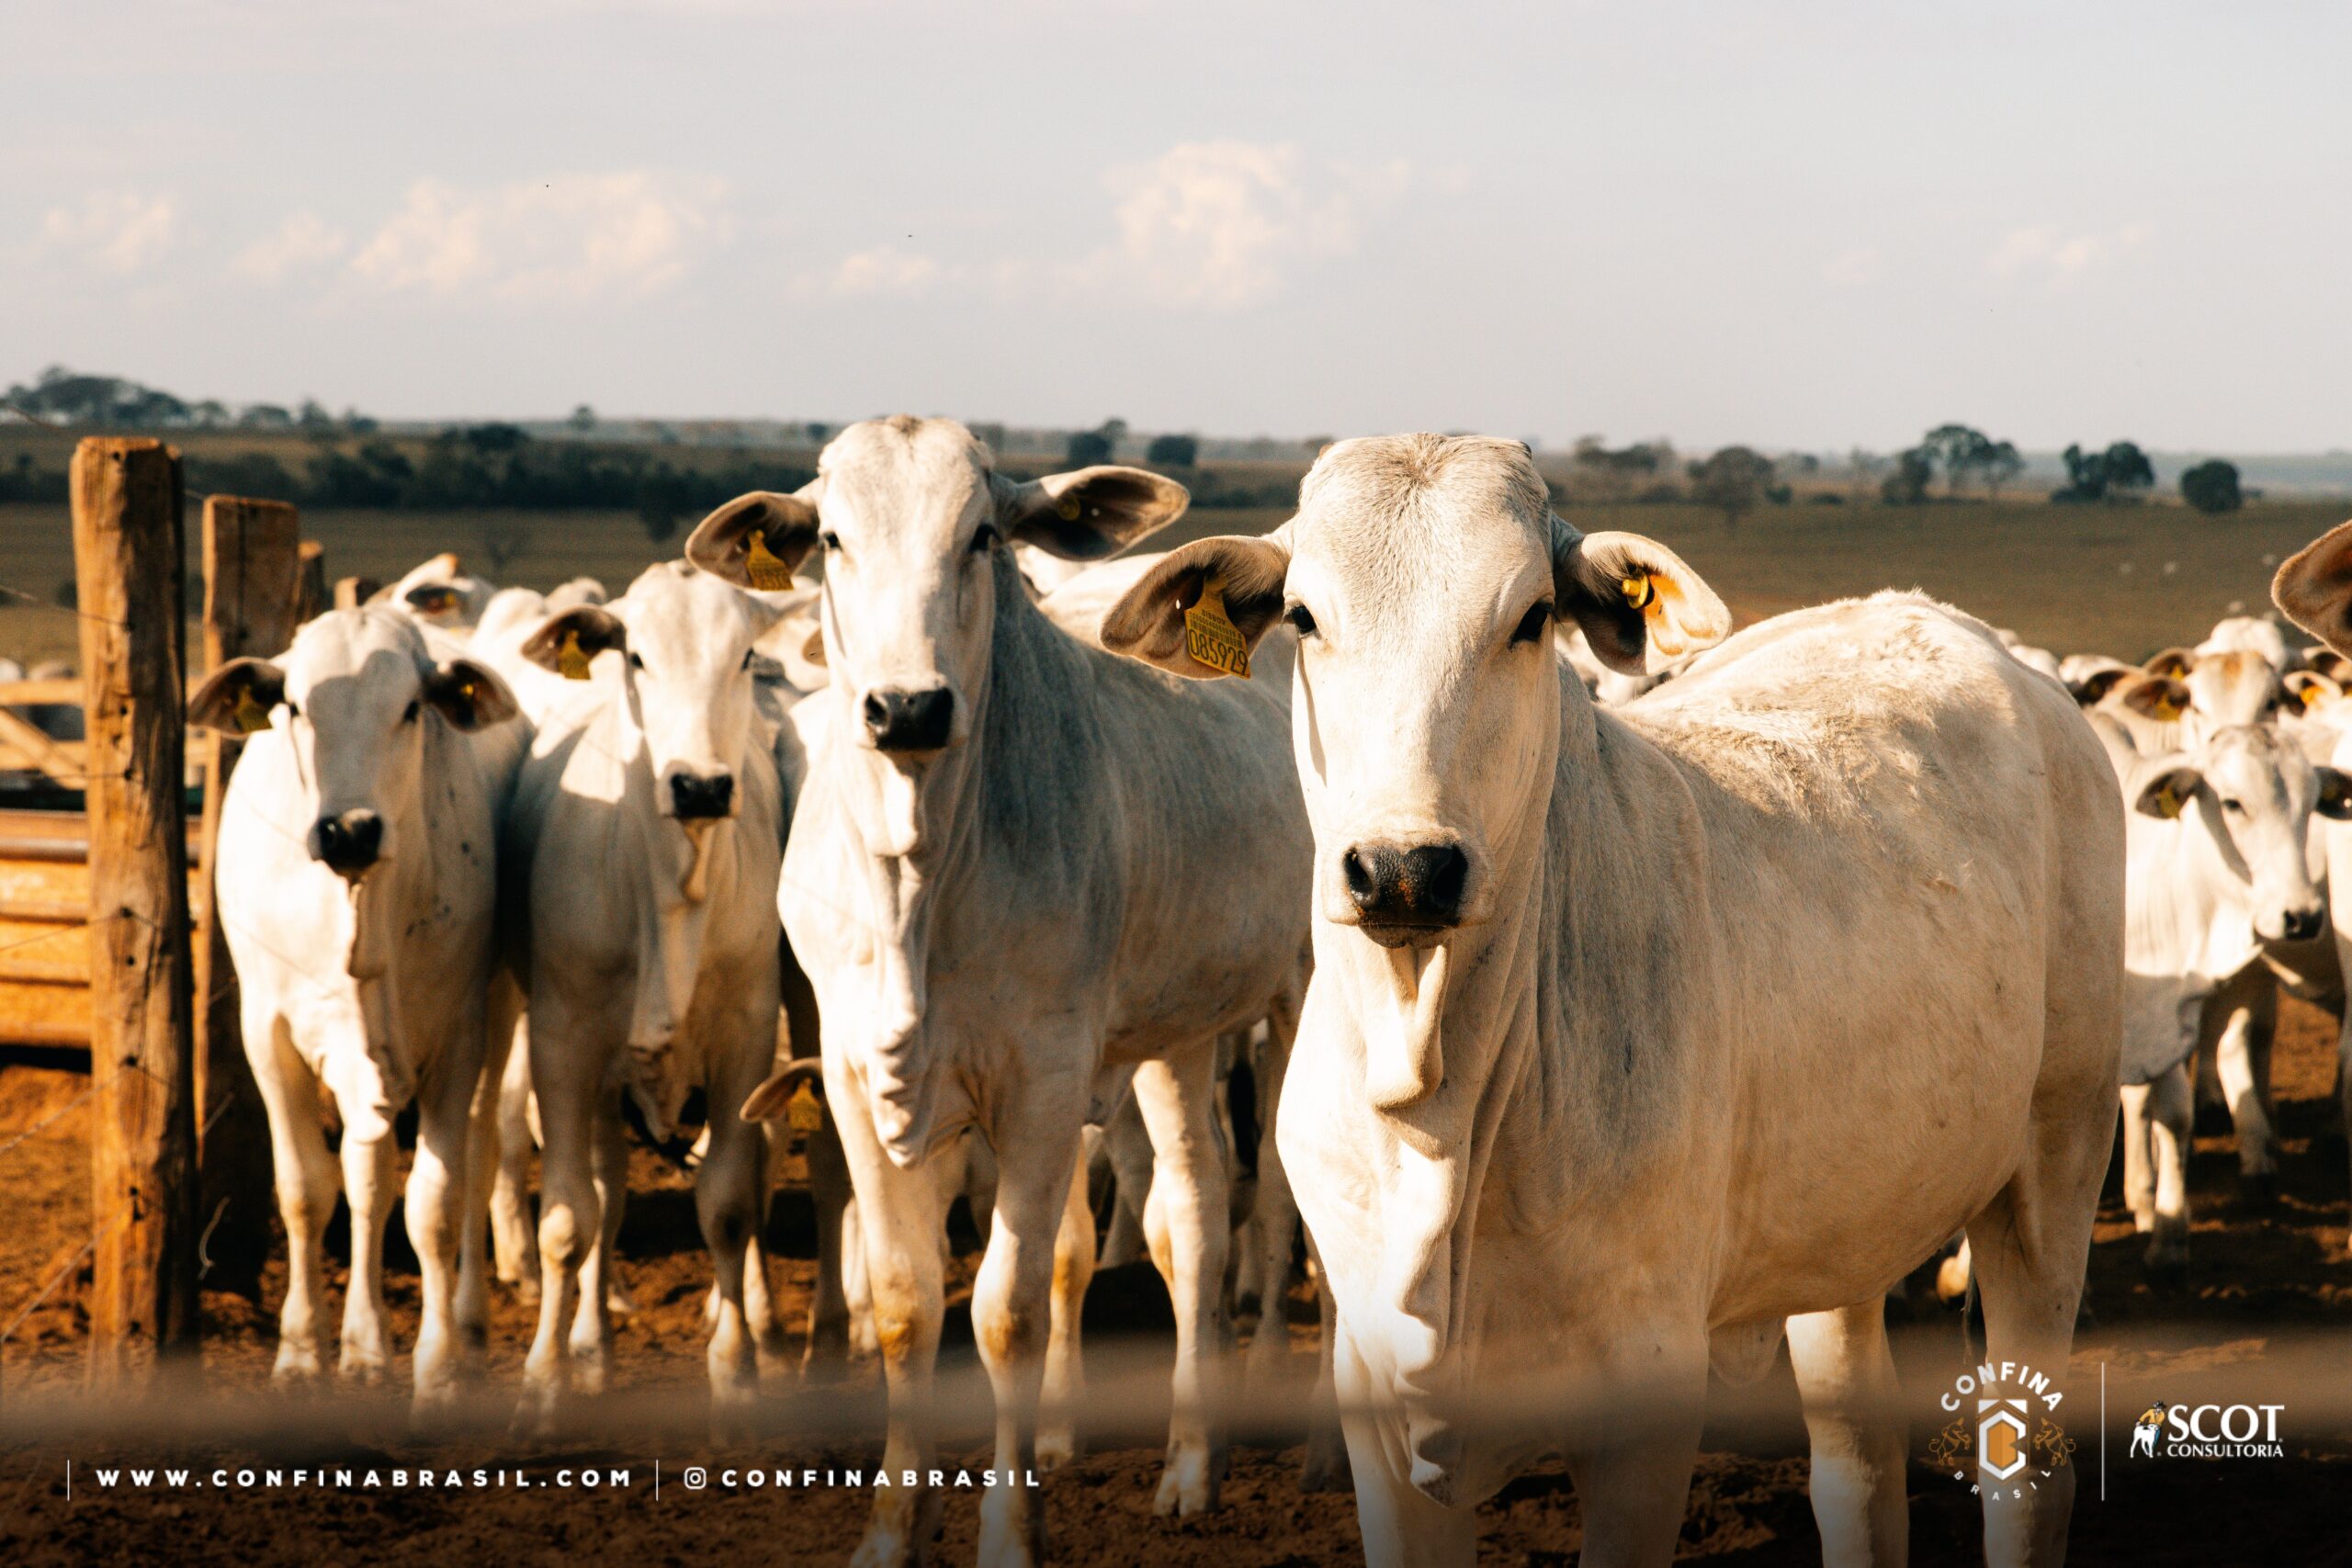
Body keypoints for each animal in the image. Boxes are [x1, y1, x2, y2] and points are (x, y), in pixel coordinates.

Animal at [191, 611, 524, 1410]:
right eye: (295, 707)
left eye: (410, 708)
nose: (350, 830)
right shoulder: (267, 1034)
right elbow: (307, 1190)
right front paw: (302, 1352)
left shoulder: (459, 1036)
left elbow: (435, 1203)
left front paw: (436, 1366)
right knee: (363, 1172)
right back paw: (365, 1342)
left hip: (495, 1015)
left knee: (477, 1151)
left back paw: (463, 1325)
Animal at [496, 564, 790, 1438]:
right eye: (636, 655)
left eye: (745, 654)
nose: (700, 785)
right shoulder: (562, 1041)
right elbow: (567, 1221)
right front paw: (543, 1383)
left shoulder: (747, 1038)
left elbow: (727, 1206)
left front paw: (737, 1373)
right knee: (603, 1195)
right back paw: (589, 1343)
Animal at [686, 421, 1317, 1568]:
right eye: (831, 538)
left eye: (981, 535)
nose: (907, 706)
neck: (922, 874)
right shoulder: (854, 1076)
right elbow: (905, 1303)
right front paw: (892, 1530)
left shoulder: (1042, 1084)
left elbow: (1007, 1311)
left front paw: (1009, 1531)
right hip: (1176, 1032)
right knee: (1194, 1215)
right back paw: (1187, 1465)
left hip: (1304, 993)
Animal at [1091, 434, 2126, 1568]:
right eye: (1306, 618)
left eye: (1532, 616)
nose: (1404, 870)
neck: (1441, 1110)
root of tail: (1961, 632)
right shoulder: (1379, 1404)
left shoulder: (1644, 1409)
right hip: (1847, 1222)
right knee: (1858, 1457)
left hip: (2056, 1162)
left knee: (2025, 1475)